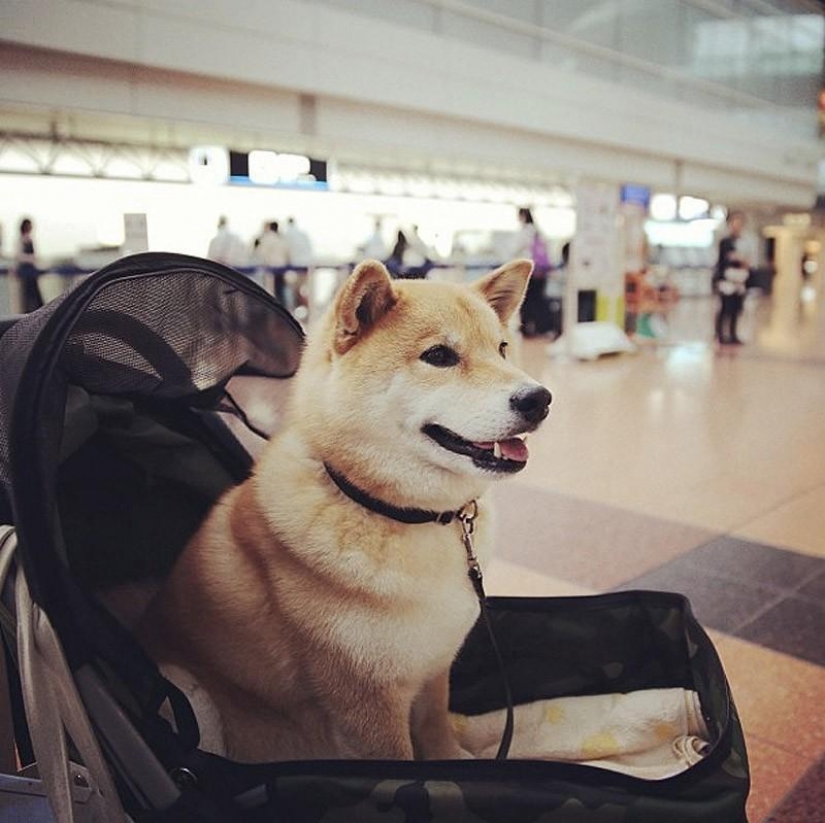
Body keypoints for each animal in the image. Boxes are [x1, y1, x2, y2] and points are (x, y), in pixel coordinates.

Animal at [138, 260, 552, 764]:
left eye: (503, 349)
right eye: (439, 356)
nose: (539, 399)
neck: (404, 514)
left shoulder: (435, 668)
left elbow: (435, 729)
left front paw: (455, 762)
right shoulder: (366, 704)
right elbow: (401, 760)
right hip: (188, 691)